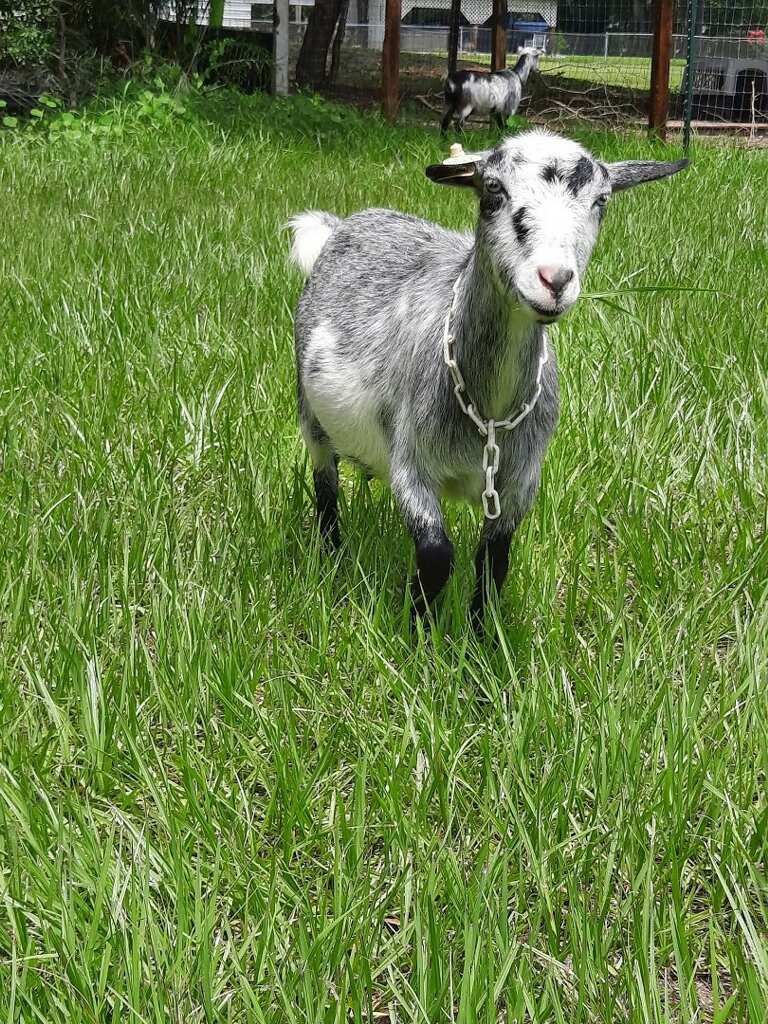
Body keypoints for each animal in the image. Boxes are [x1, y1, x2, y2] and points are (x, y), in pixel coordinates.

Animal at [288, 130, 688, 628]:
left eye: (602, 200)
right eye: (493, 191)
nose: (554, 280)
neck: (491, 415)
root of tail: (345, 224)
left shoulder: (519, 482)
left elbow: (493, 559)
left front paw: (483, 634)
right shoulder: (412, 466)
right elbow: (437, 555)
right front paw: (416, 630)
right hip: (310, 411)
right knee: (325, 483)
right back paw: (332, 553)